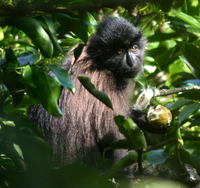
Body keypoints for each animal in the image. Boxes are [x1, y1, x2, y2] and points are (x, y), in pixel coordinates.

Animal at [28, 16, 159, 175]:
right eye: (119, 51)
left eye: (134, 48)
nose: (132, 62)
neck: (100, 62)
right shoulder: (105, 85)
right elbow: (111, 139)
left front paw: (145, 120)